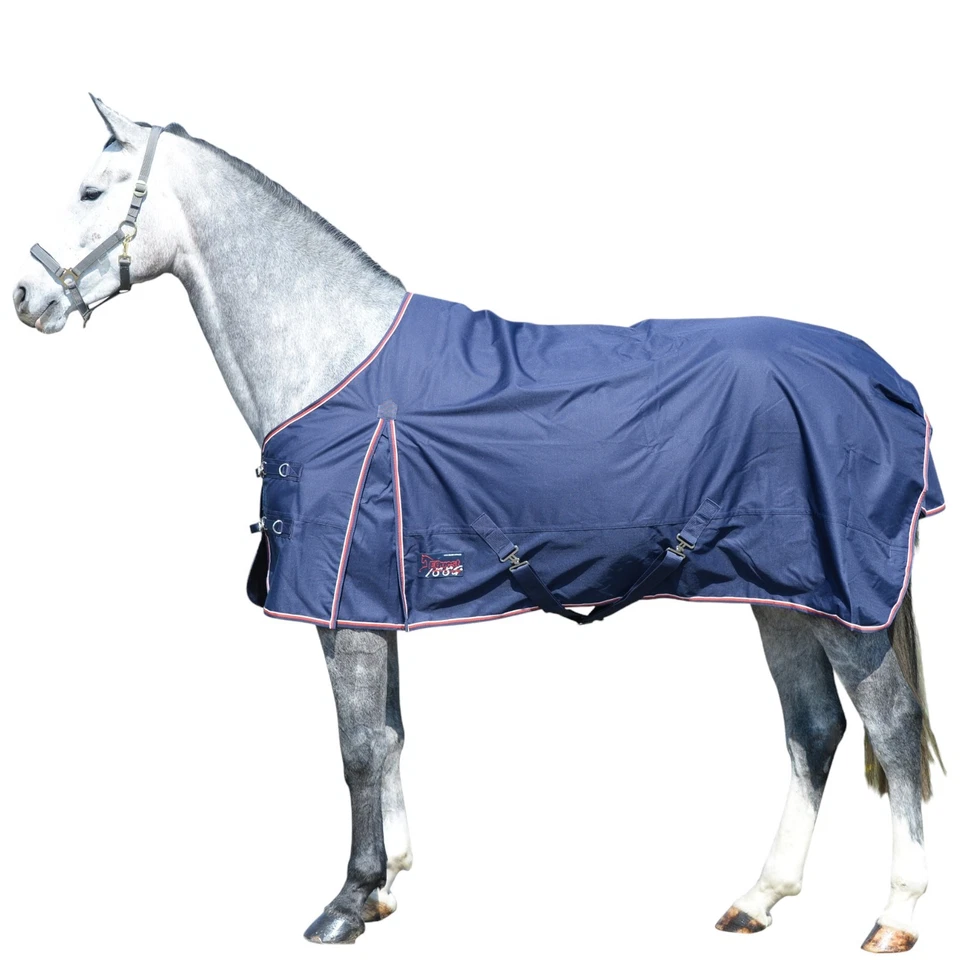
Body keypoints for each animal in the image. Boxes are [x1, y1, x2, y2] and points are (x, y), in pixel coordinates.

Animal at [12, 97, 944, 953]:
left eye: (91, 190)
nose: (26, 296)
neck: (335, 361)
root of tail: (882, 375)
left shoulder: (342, 609)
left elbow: (357, 748)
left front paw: (346, 901)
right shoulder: (373, 602)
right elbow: (389, 736)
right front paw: (386, 885)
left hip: (845, 608)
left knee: (893, 730)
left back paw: (896, 914)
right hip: (780, 594)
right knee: (814, 729)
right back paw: (759, 896)